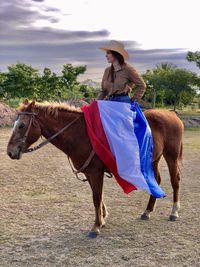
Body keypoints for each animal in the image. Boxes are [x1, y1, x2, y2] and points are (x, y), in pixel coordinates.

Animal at [7, 100, 184, 239]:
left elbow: (96, 198)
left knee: (175, 181)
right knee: (157, 180)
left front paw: (96, 227)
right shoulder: (90, 173)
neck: (81, 134)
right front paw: (102, 220)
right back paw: (147, 211)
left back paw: (174, 212)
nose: (10, 152)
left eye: (22, 125)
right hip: (153, 159)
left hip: (171, 155)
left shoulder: (96, 172)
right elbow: (98, 196)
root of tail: (172, 115)